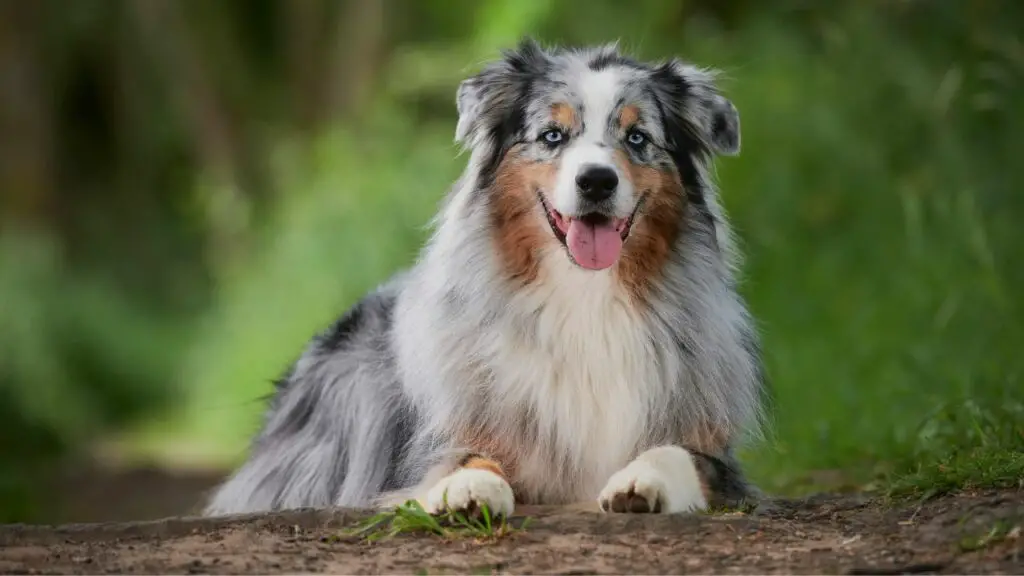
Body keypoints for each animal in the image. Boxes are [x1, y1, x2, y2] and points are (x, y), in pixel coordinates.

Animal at [203, 39, 770, 516]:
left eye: (637, 137)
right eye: (551, 136)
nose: (597, 181)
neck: (584, 295)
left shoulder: (717, 455)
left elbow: (679, 453)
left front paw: (640, 481)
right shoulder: (438, 441)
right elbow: (462, 457)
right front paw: (470, 488)